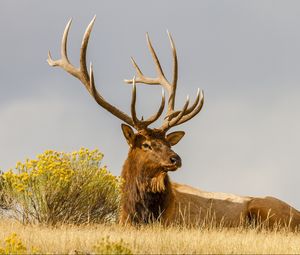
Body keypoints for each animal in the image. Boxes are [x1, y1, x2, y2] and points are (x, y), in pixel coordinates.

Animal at [48, 17, 300, 229]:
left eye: (169, 143)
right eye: (146, 144)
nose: (175, 159)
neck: (142, 214)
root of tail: (297, 213)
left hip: (265, 210)